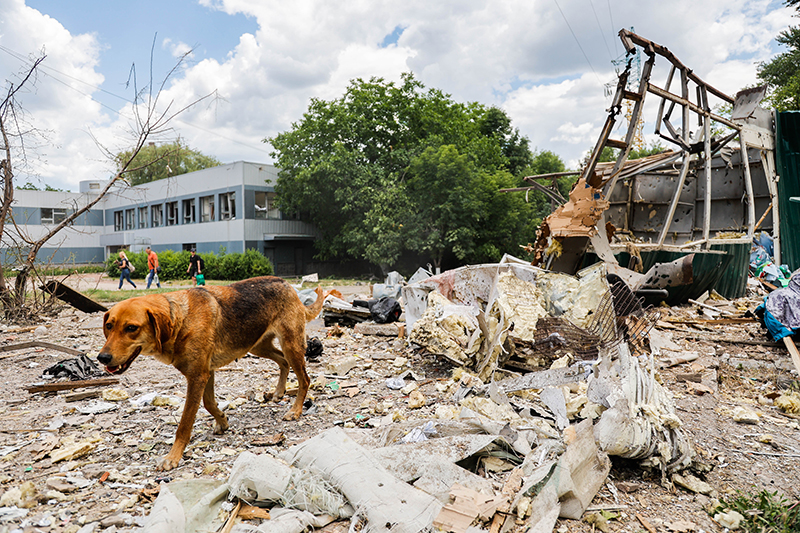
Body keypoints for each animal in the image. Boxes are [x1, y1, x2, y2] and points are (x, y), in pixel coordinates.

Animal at [98, 276, 324, 468]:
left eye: (131, 328)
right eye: (109, 326)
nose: (102, 358)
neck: (180, 318)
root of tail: (287, 284)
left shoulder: (197, 377)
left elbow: (184, 424)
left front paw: (173, 457)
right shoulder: (206, 373)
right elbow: (209, 403)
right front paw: (222, 421)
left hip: (290, 345)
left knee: (305, 378)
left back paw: (295, 410)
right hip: (257, 345)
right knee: (283, 362)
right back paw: (278, 392)